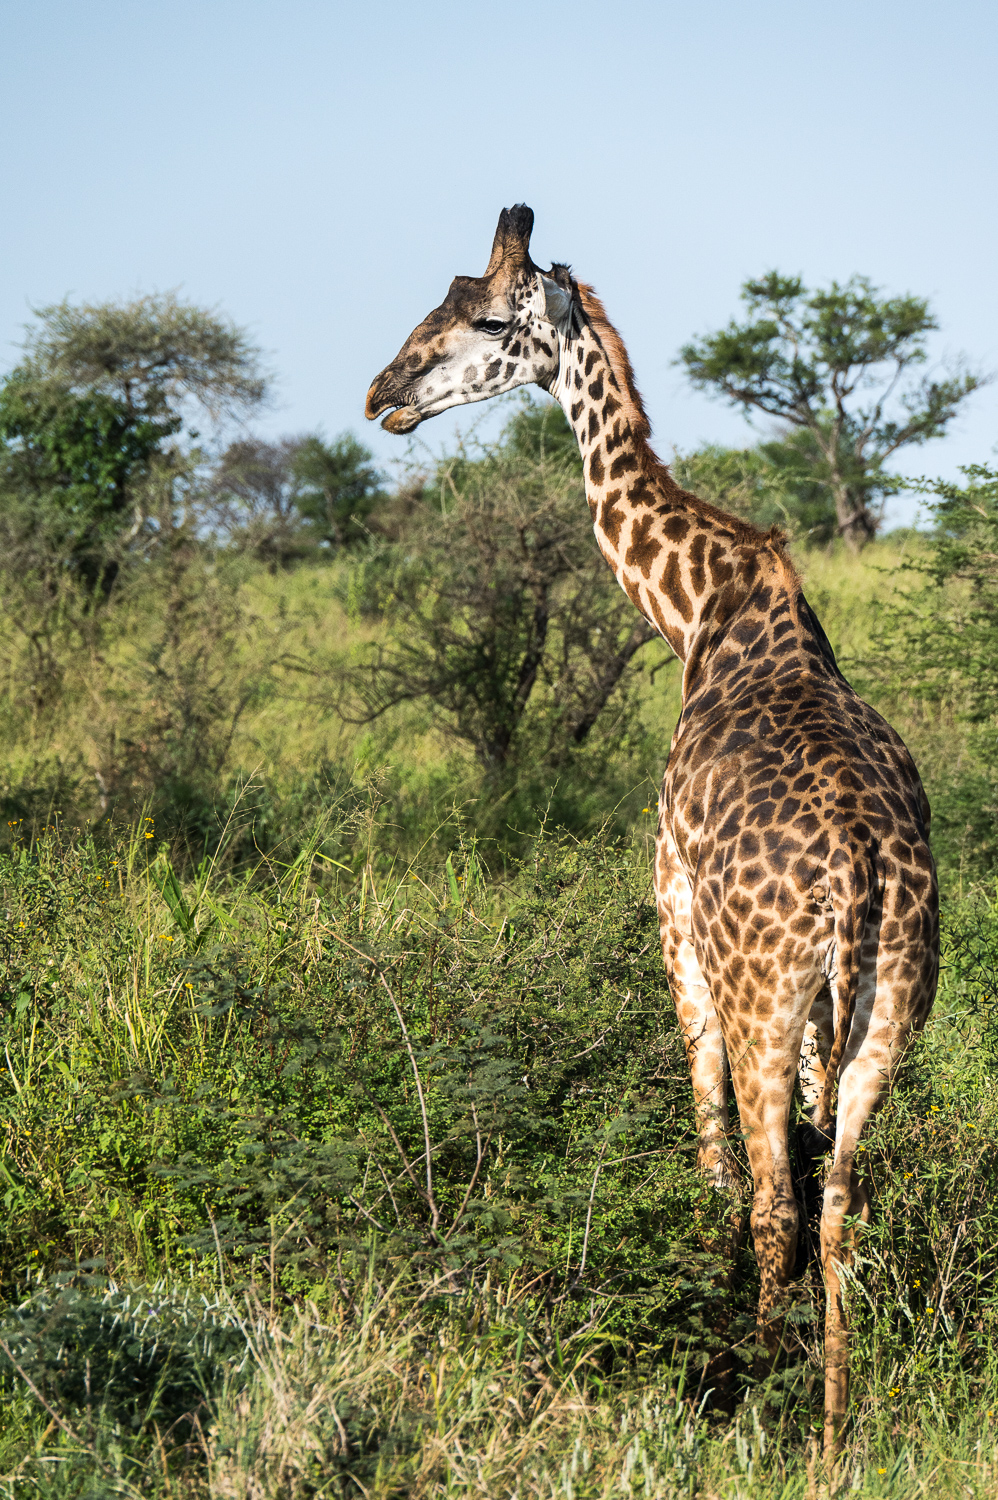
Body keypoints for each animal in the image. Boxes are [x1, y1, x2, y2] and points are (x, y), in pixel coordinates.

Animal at [364, 205, 936, 1458]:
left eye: (487, 320)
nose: (382, 390)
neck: (697, 609)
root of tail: (863, 880)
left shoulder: (672, 910)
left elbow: (704, 1141)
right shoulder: (818, 1019)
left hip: (766, 994)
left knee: (774, 1198)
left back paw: (761, 1391)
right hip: (886, 1012)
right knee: (840, 1201)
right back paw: (834, 1427)